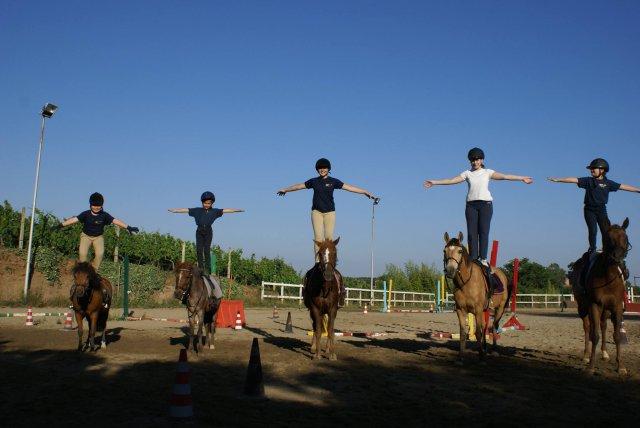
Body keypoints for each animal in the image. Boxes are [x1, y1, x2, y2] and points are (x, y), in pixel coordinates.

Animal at [442, 232, 512, 362]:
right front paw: (461, 358)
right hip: (485, 310)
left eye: (460, 251)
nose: (450, 270)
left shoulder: (478, 310)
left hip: (499, 308)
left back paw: (494, 350)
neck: (466, 283)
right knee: (485, 327)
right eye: (444, 251)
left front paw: (481, 358)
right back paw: (484, 348)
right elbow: (463, 333)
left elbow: (478, 333)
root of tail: (502, 274)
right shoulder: (460, 310)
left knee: (494, 326)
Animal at [568, 219, 632, 372]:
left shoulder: (616, 307)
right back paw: (586, 355)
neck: (608, 276)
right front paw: (591, 366)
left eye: (625, 238)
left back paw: (604, 353)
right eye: (608, 238)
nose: (617, 257)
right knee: (587, 328)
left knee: (603, 326)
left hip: (606, 310)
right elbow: (594, 335)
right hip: (583, 307)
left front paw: (621, 366)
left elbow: (616, 335)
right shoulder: (594, 305)